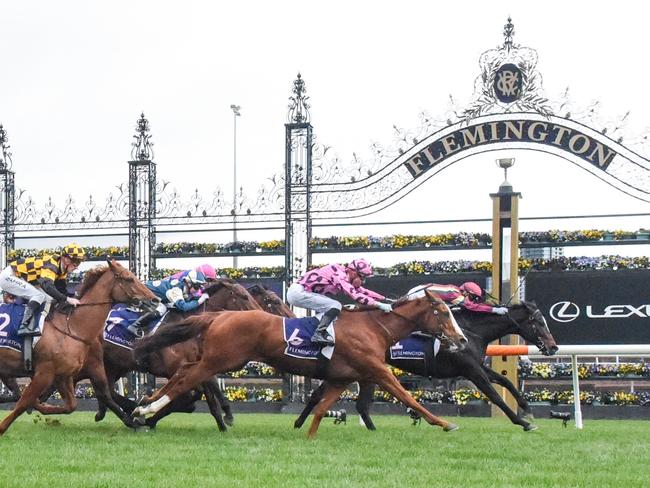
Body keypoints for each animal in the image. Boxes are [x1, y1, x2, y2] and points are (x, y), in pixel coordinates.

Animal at [0, 260, 154, 434]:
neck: (72, 327)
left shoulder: (63, 375)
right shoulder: (45, 372)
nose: (154, 300)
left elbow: (71, 405)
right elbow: (23, 402)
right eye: (129, 278)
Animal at [132, 290, 466, 438]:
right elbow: (409, 397)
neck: (372, 327)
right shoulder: (378, 371)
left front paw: (308, 437)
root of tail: (219, 315)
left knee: (184, 373)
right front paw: (444, 423)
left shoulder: (341, 378)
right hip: (222, 359)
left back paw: (143, 404)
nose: (461, 340)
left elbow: (320, 408)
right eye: (443, 313)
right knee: (188, 380)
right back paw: (147, 409)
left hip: (215, 359)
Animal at [294, 302, 556, 430]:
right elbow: (495, 395)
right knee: (326, 396)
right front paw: (523, 422)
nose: (553, 347)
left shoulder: (476, 367)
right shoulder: (471, 370)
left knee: (356, 404)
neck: (471, 331)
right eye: (539, 322)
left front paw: (526, 408)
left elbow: (505, 381)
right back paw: (300, 422)